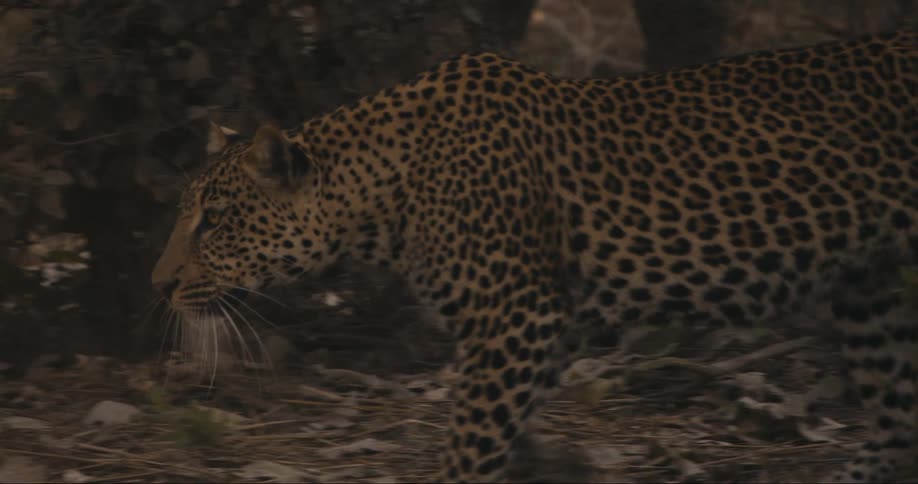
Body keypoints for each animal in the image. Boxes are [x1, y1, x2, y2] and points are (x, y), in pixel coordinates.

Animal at [152, 30, 918, 482]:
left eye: (213, 221)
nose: (159, 285)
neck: (389, 190)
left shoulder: (513, 317)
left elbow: (470, 443)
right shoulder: (553, 322)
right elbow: (511, 427)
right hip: (871, 289)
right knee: (896, 418)